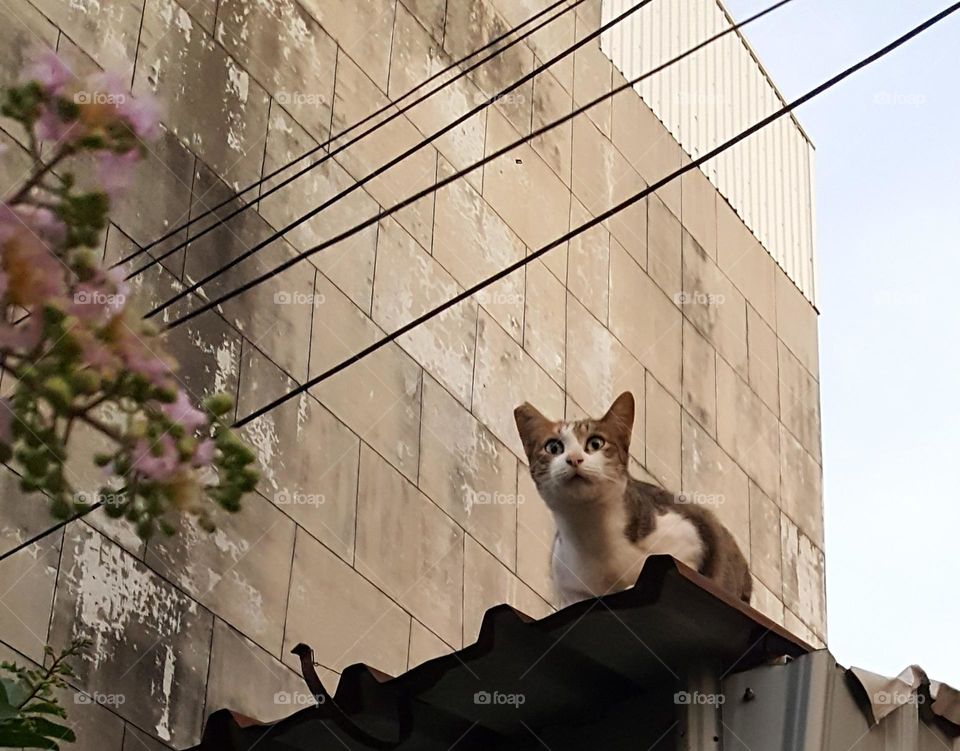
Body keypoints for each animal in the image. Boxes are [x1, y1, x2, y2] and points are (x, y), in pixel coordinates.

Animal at [512, 390, 752, 608]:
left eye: (596, 443)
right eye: (553, 447)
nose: (574, 459)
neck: (593, 533)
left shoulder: (691, 538)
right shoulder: (569, 584)